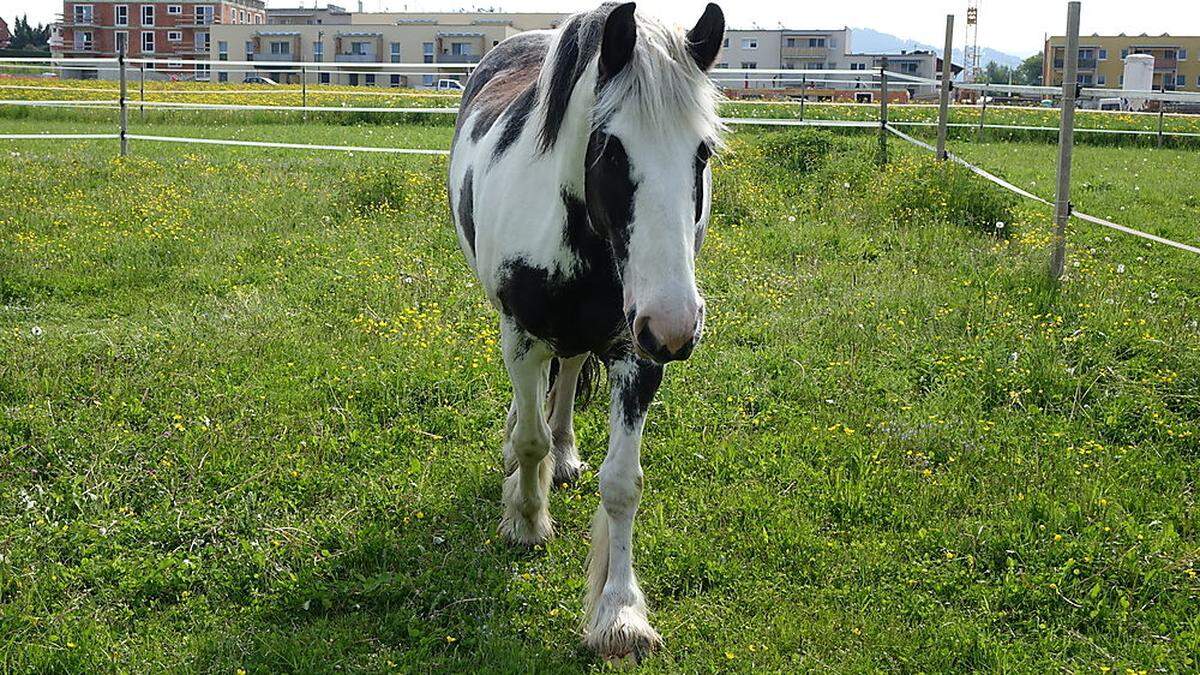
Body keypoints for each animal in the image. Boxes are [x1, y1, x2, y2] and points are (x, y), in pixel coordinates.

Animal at [448, 1, 720, 658]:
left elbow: (622, 484)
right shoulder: (521, 339)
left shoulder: (638, 357)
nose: (675, 325)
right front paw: (525, 520)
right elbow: (530, 440)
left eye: (701, 152)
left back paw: (568, 452)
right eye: (611, 148)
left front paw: (619, 614)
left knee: (569, 372)